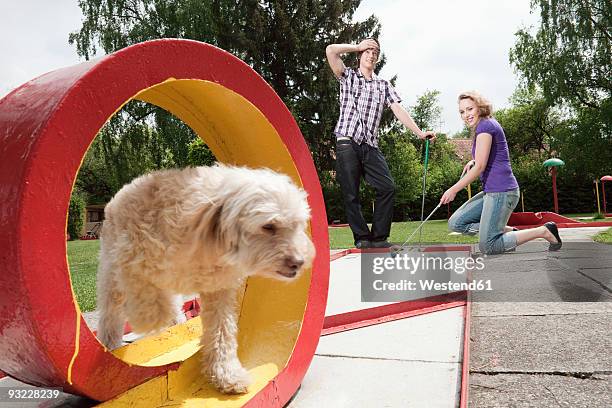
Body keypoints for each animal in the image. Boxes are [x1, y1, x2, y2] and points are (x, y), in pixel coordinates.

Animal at [97, 164, 316, 394]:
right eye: (269, 226)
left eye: (297, 225)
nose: (298, 262)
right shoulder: (131, 254)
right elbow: (146, 298)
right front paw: (147, 319)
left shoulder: (218, 290)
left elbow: (222, 332)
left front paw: (227, 375)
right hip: (111, 274)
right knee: (112, 312)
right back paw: (111, 344)